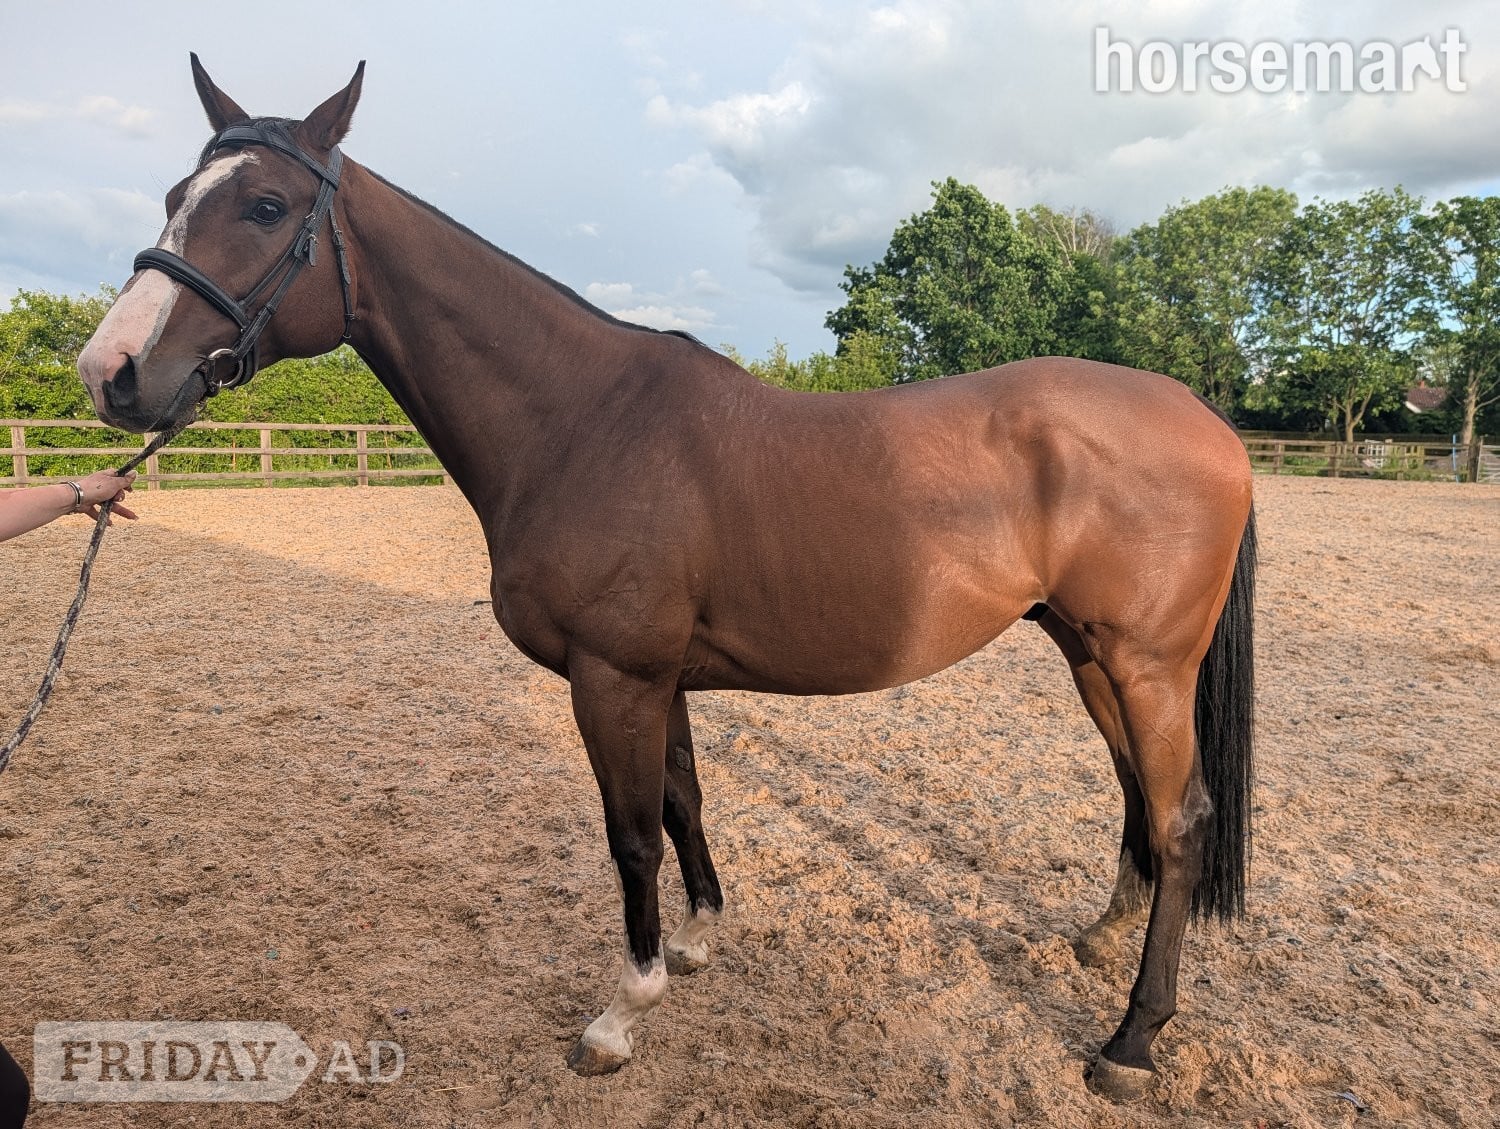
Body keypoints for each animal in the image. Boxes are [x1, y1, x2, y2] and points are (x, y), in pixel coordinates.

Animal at [77, 57, 1256, 1101]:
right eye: (177, 197)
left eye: (266, 205)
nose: (111, 372)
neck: (582, 419)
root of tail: (1208, 421)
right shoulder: (663, 678)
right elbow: (685, 801)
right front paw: (696, 941)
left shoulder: (615, 677)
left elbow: (631, 833)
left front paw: (620, 1012)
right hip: (1089, 653)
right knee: (1139, 801)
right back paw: (1099, 939)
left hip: (1146, 665)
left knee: (1182, 819)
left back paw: (1131, 1040)